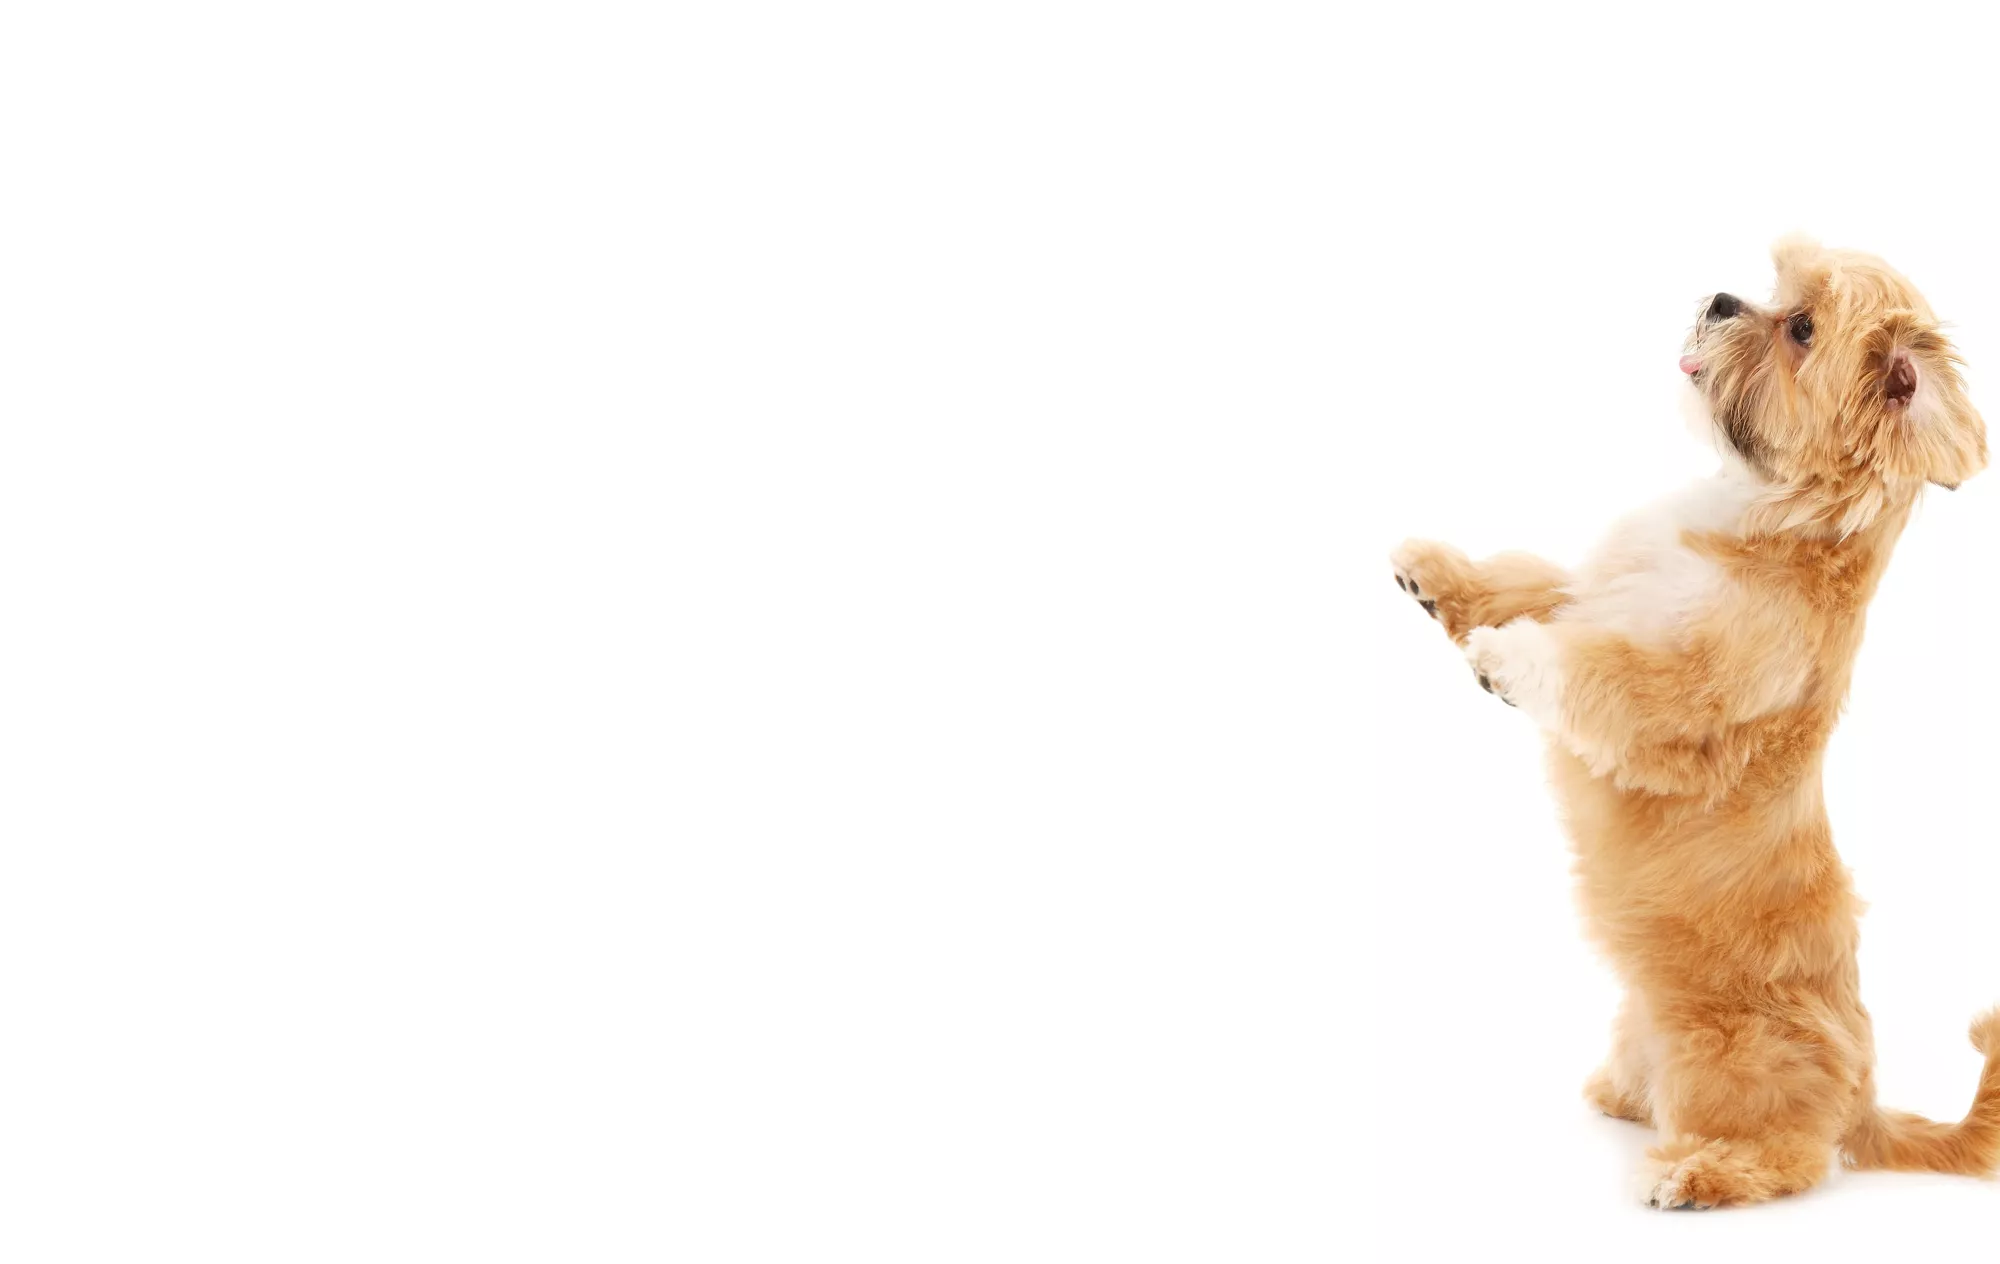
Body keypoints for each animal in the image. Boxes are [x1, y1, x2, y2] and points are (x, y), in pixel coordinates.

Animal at [1391, 237, 2000, 1208]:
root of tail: (1865, 1095)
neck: (1753, 517)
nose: (1719, 299)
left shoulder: (1674, 692)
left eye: (1800, 328)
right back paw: (1625, 1098)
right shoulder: (1591, 592)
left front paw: (1505, 661)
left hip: (1732, 1056)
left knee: (1792, 1157)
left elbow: (1590, 670)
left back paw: (1699, 1172)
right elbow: (1525, 581)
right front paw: (1436, 573)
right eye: (1771, 293)